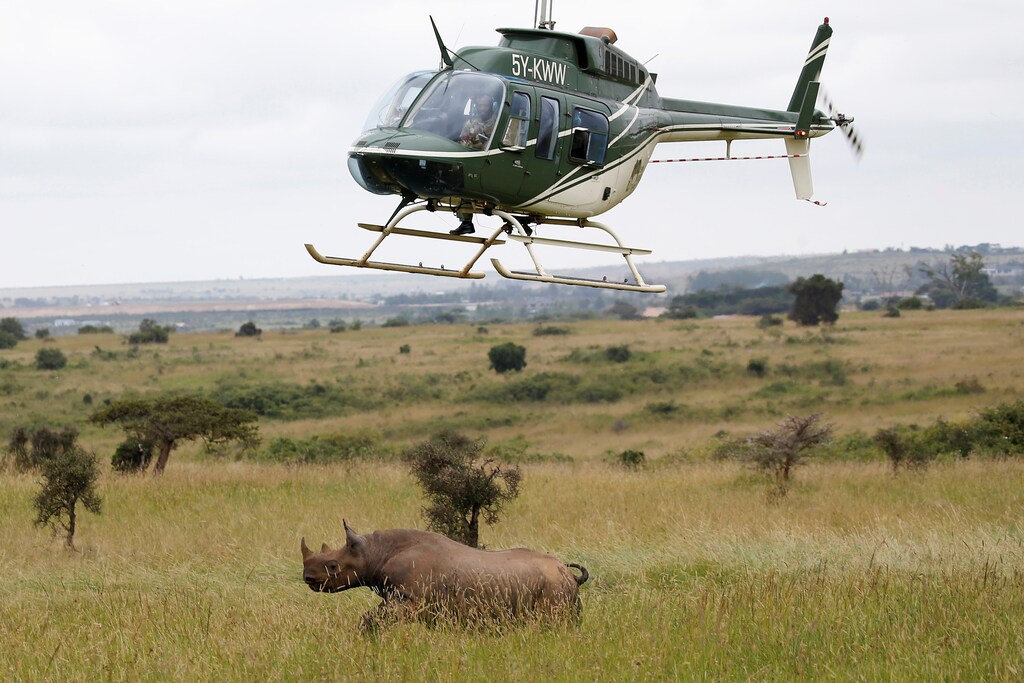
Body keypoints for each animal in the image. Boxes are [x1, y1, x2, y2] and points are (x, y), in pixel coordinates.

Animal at [301, 520, 589, 628]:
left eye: (333, 566)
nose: (308, 578)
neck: (374, 552)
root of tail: (569, 574)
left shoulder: (409, 598)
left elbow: (373, 618)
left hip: (554, 586)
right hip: (555, 583)